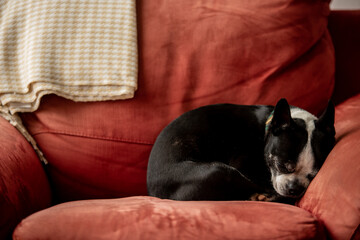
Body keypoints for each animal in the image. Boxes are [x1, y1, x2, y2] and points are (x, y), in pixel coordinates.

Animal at [147, 98, 334, 203]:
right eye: (281, 165)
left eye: (314, 175)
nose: (294, 189)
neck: (265, 131)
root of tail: (155, 193)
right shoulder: (243, 166)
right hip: (219, 170)